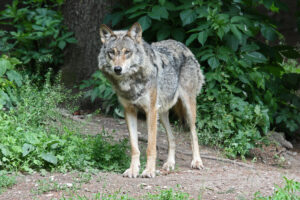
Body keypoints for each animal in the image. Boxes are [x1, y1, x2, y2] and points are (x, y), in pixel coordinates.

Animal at [98, 22, 206, 177]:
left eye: (127, 52)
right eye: (111, 52)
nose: (117, 69)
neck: (130, 83)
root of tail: (182, 45)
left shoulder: (150, 111)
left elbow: (150, 147)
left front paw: (148, 170)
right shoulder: (129, 111)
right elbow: (134, 147)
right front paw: (133, 170)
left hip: (188, 109)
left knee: (193, 134)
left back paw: (197, 161)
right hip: (162, 113)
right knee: (172, 138)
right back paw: (169, 163)